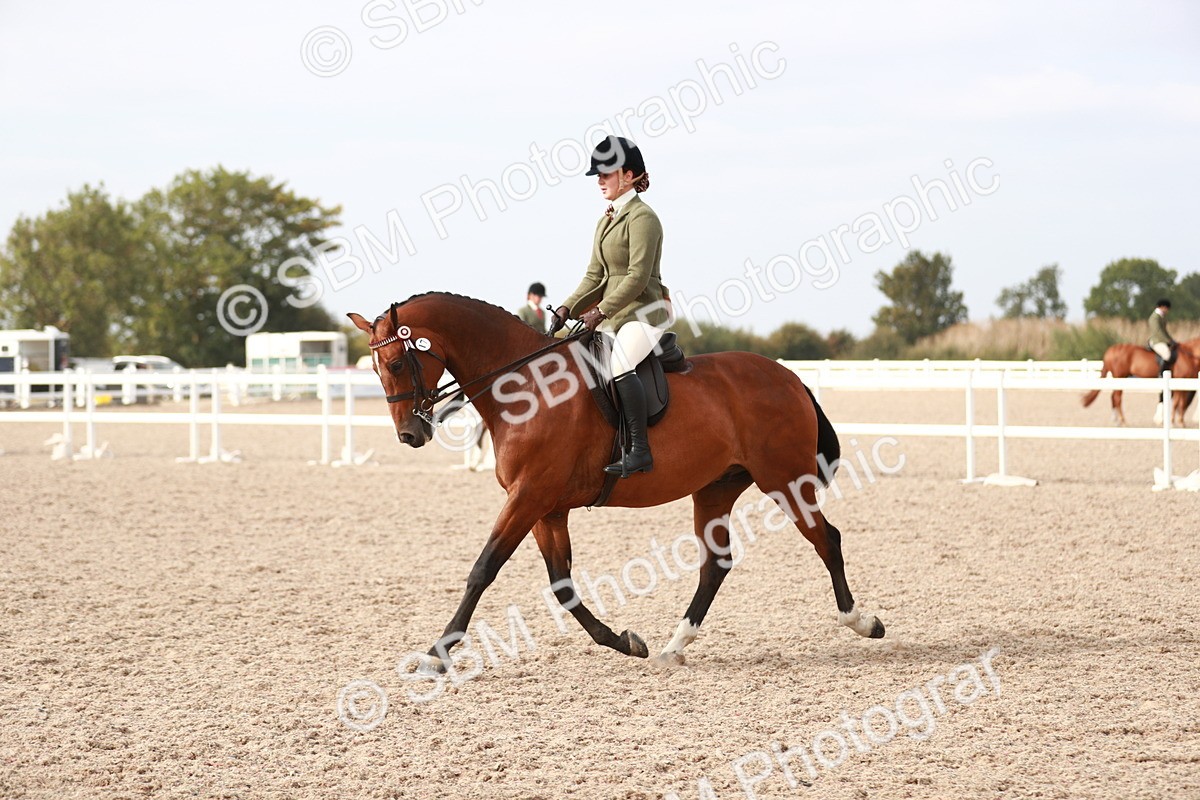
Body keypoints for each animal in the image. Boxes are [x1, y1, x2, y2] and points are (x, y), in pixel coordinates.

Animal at [347, 292, 885, 671]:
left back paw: (862, 622)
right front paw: (625, 642)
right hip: (716, 489)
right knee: (716, 564)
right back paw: (673, 647)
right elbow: (562, 584)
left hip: (785, 480)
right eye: (376, 367)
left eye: (396, 363)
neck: (526, 387)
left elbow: (483, 569)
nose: (410, 434)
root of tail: (789, 376)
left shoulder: (528, 497)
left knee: (826, 539)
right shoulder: (546, 507)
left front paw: (436, 655)